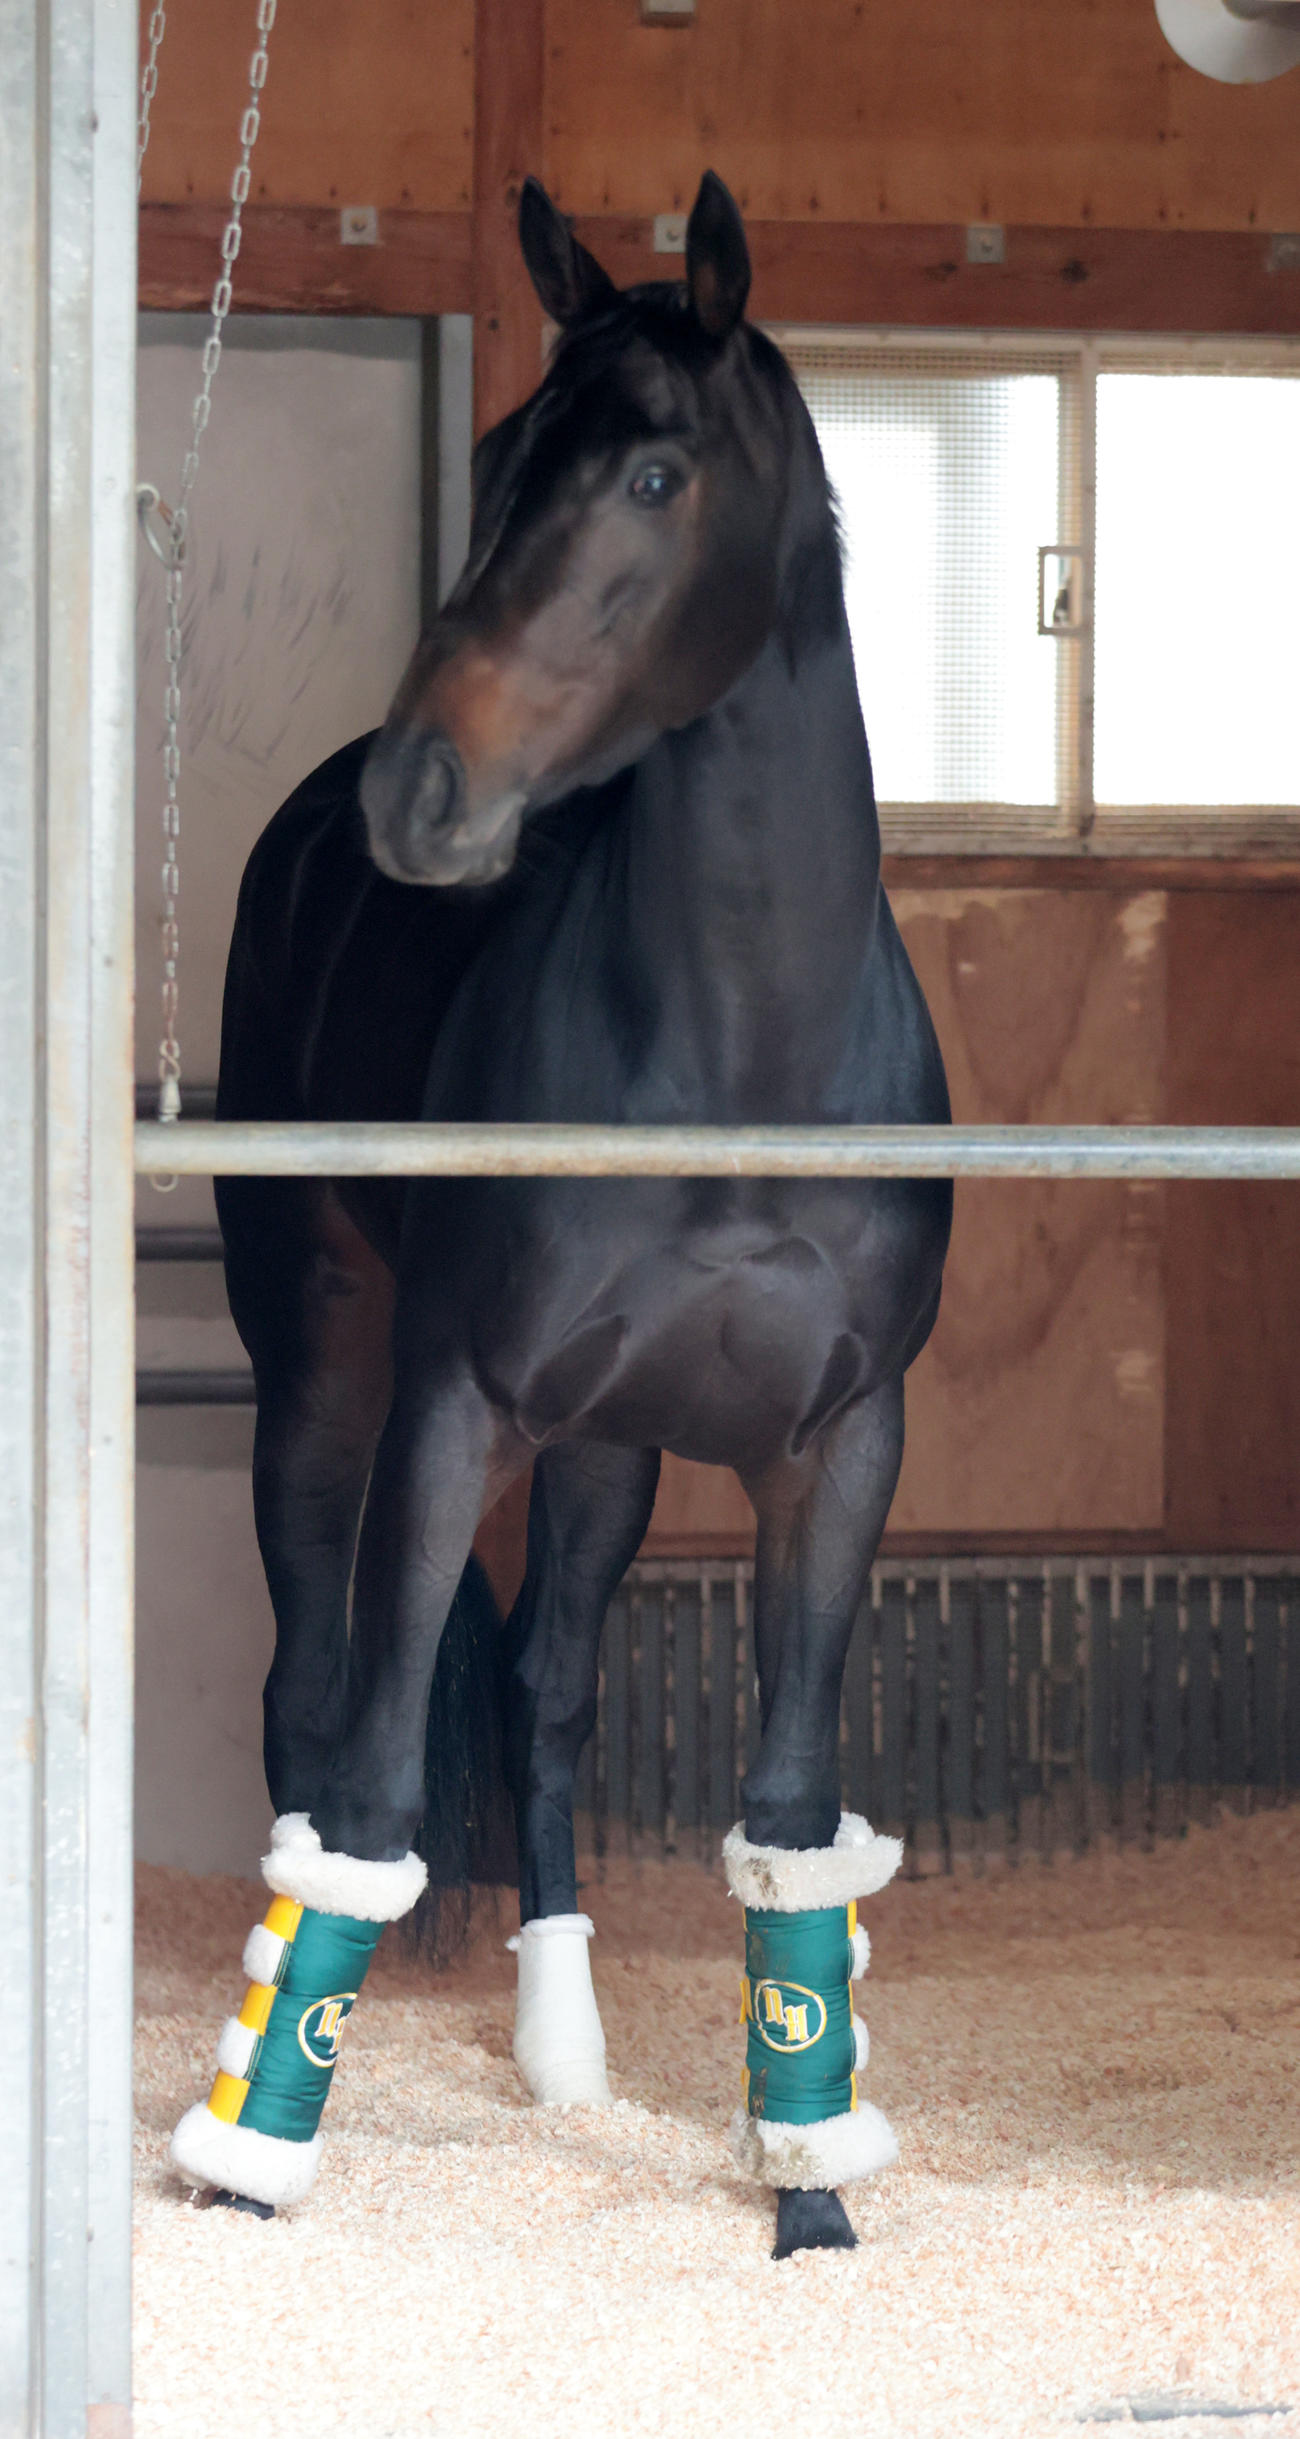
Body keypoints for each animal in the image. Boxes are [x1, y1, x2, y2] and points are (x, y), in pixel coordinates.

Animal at [187, 171, 952, 2260]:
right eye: (498, 460)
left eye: (655, 475)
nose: (420, 793)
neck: (743, 1054)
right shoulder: (456, 1406)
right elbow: (374, 1782)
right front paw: (260, 2155)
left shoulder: (837, 1449)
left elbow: (790, 1813)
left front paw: (808, 2188)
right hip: (327, 1369)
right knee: (307, 1692)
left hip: (617, 1440)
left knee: (543, 1691)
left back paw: (561, 2044)